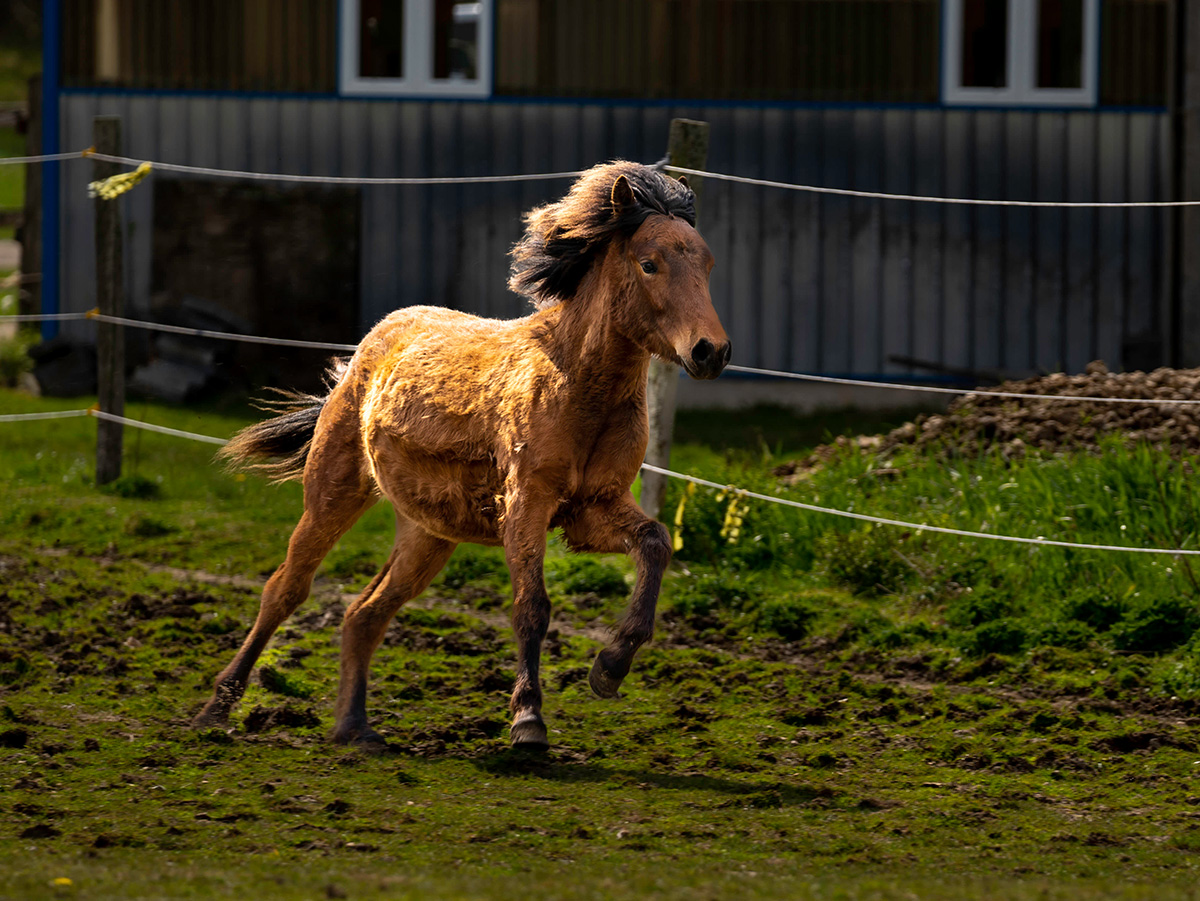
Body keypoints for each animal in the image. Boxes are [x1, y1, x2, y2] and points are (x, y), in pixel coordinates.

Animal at [192, 160, 729, 748]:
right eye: (649, 264)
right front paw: (528, 721)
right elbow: (531, 606)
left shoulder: (592, 509)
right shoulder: (526, 504)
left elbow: (655, 544)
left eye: (707, 263)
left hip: (428, 534)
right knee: (285, 589)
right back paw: (217, 709)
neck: (578, 388)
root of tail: (366, 349)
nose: (711, 351)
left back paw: (355, 728)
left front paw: (610, 668)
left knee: (364, 614)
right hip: (333, 496)